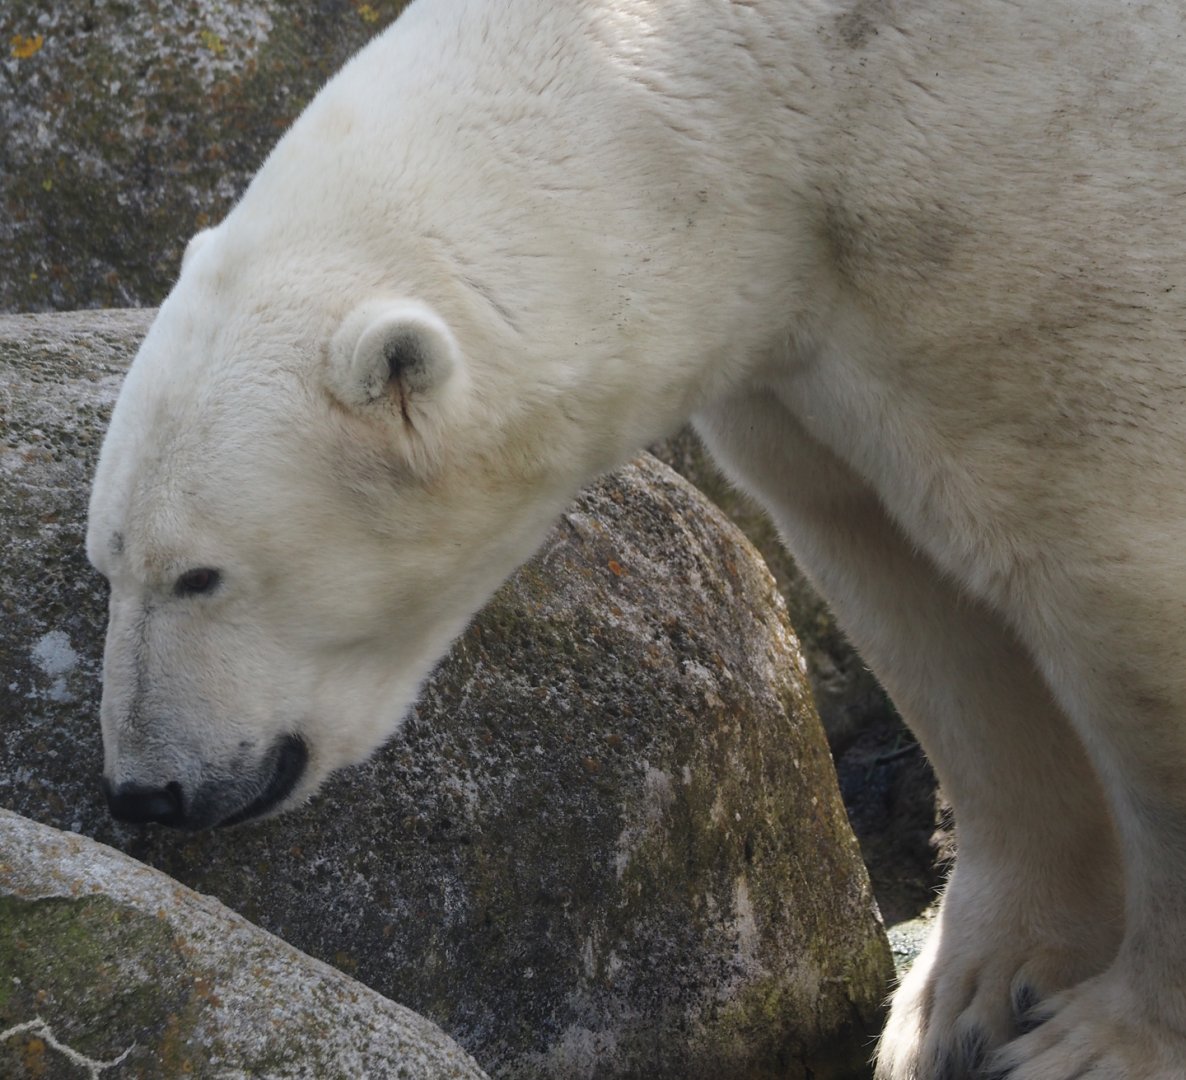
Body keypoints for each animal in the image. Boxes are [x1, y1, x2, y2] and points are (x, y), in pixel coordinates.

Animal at [86, 0, 1186, 1076]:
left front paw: (1101, 1044)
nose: (146, 792)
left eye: (198, 575)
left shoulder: (1037, 226)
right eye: (109, 560)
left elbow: (1116, 579)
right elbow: (921, 611)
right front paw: (955, 1005)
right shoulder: (820, 344)